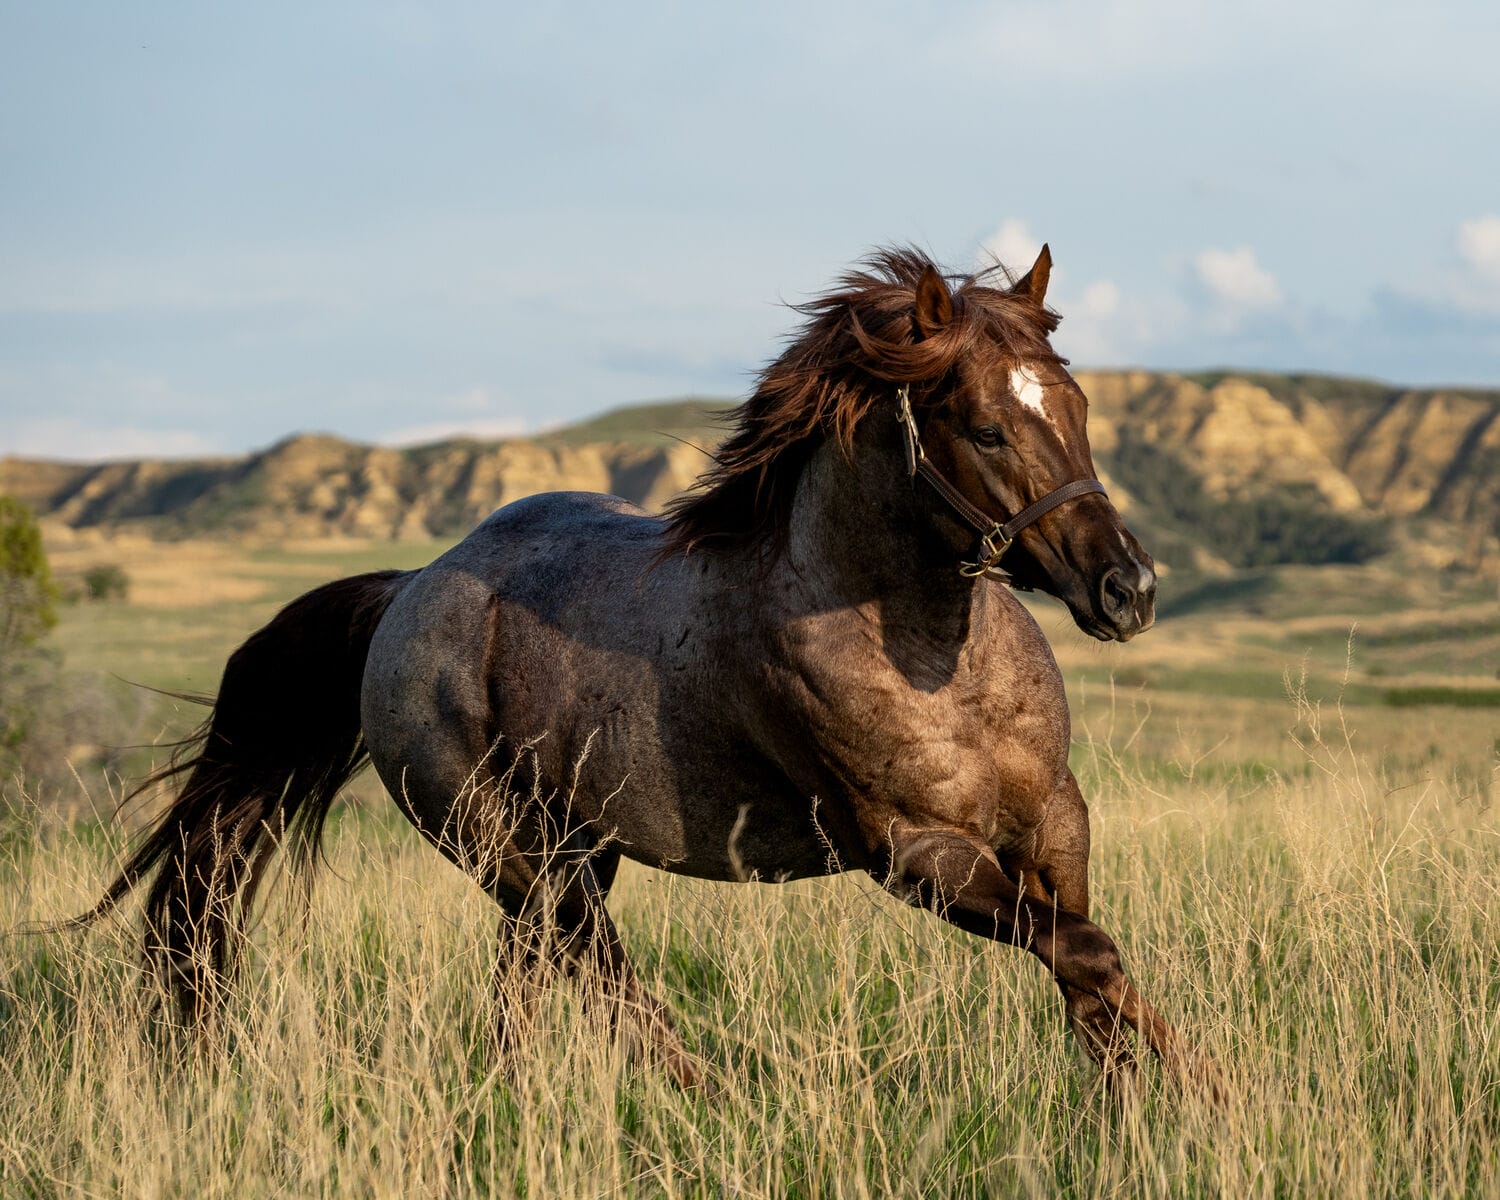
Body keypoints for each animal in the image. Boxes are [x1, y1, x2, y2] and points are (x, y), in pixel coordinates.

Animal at [74, 245, 1214, 1096]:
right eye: (984, 427)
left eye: (1075, 406)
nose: (1129, 589)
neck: (938, 664)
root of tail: (409, 592)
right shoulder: (915, 853)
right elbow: (1087, 955)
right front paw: (1199, 1103)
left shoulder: (1054, 823)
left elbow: (1088, 971)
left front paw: (1145, 1105)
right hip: (515, 852)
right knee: (607, 983)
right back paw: (712, 1103)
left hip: (570, 849)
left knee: (525, 988)